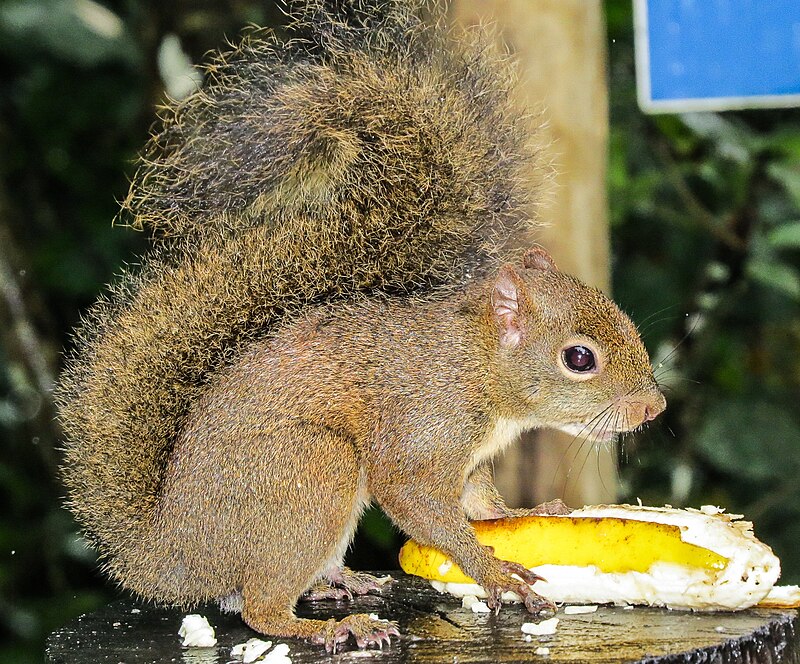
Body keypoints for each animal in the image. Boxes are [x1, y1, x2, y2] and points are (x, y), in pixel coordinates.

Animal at [56, 0, 664, 652]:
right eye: (579, 358)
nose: (653, 408)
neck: (480, 369)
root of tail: (172, 553)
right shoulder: (422, 429)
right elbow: (422, 506)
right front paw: (494, 571)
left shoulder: (470, 460)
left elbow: (479, 502)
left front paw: (529, 514)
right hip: (312, 474)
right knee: (259, 608)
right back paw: (334, 626)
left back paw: (342, 584)